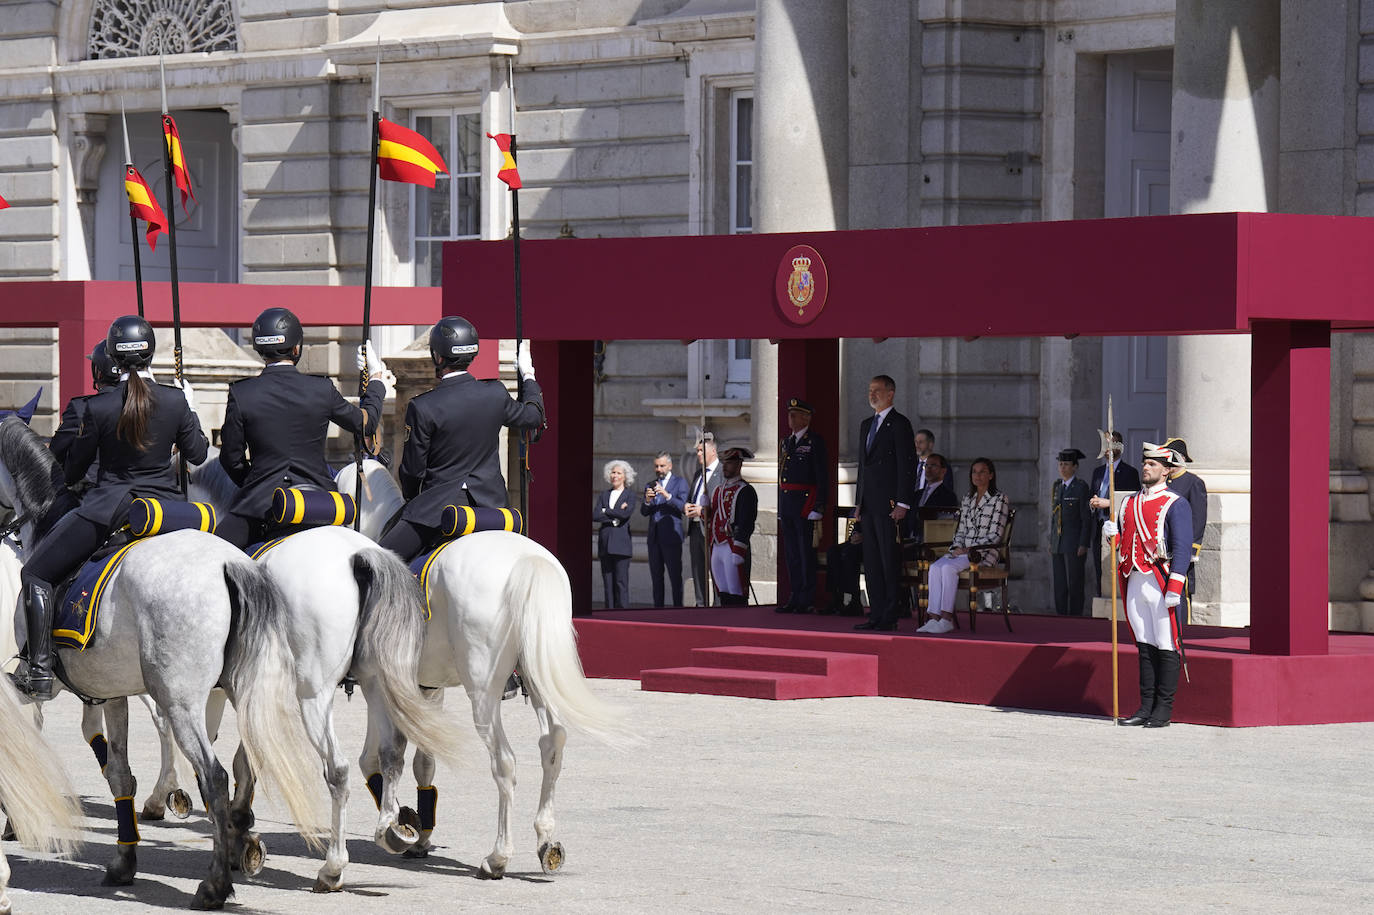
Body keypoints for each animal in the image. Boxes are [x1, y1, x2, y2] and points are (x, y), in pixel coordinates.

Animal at [338, 458, 629, 873]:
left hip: (483, 693)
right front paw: (419, 832)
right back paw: (546, 840)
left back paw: (498, 856)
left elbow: (375, 756)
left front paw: (398, 827)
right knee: (552, 745)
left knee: (505, 762)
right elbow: (425, 760)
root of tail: (526, 560)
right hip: (539, 679)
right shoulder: (427, 688)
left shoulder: (382, 683)